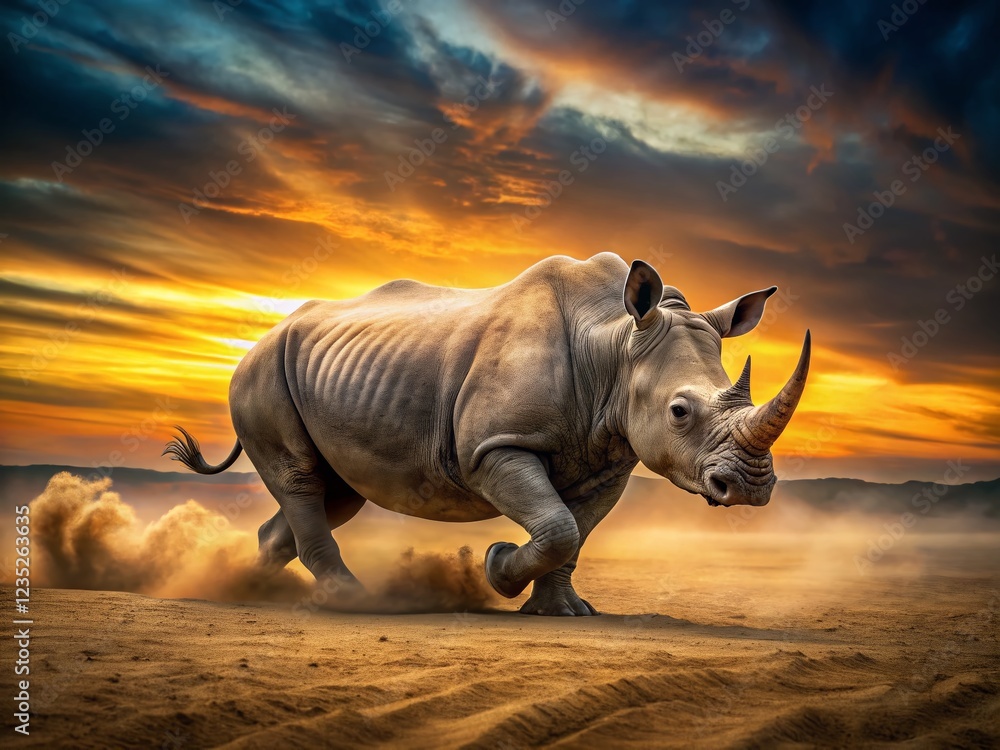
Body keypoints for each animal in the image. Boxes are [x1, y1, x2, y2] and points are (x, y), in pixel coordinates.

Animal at [164, 252, 809, 615]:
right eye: (679, 412)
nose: (750, 488)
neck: (613, 342)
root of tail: (258, 342)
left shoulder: (610, 460)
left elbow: (576, 533)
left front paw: (564, 612)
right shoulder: (493, 447)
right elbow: (558, 526)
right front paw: (497, 567)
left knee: (334, 493)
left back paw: (244, 588)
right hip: (261, 374)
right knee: (301, 478)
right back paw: (353, 602)